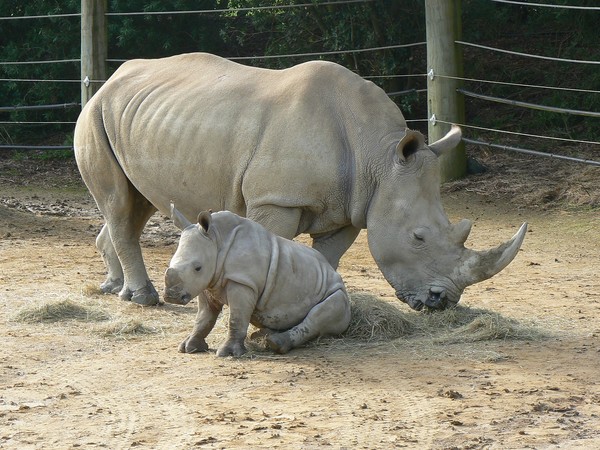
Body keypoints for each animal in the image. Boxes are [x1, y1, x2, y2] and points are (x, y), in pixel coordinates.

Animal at [164, 206, 352, 356]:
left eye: (198, 268)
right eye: (169, 263)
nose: (171, 296)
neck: (217, 240)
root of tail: (333, 272)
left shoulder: (243, 281)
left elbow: (236, 318)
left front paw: (228, 353)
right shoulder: (207, 283)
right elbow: (203, 318)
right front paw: (189, 347)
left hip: (337, 292)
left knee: (323, 312)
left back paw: (275, 344)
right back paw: (261, 335)